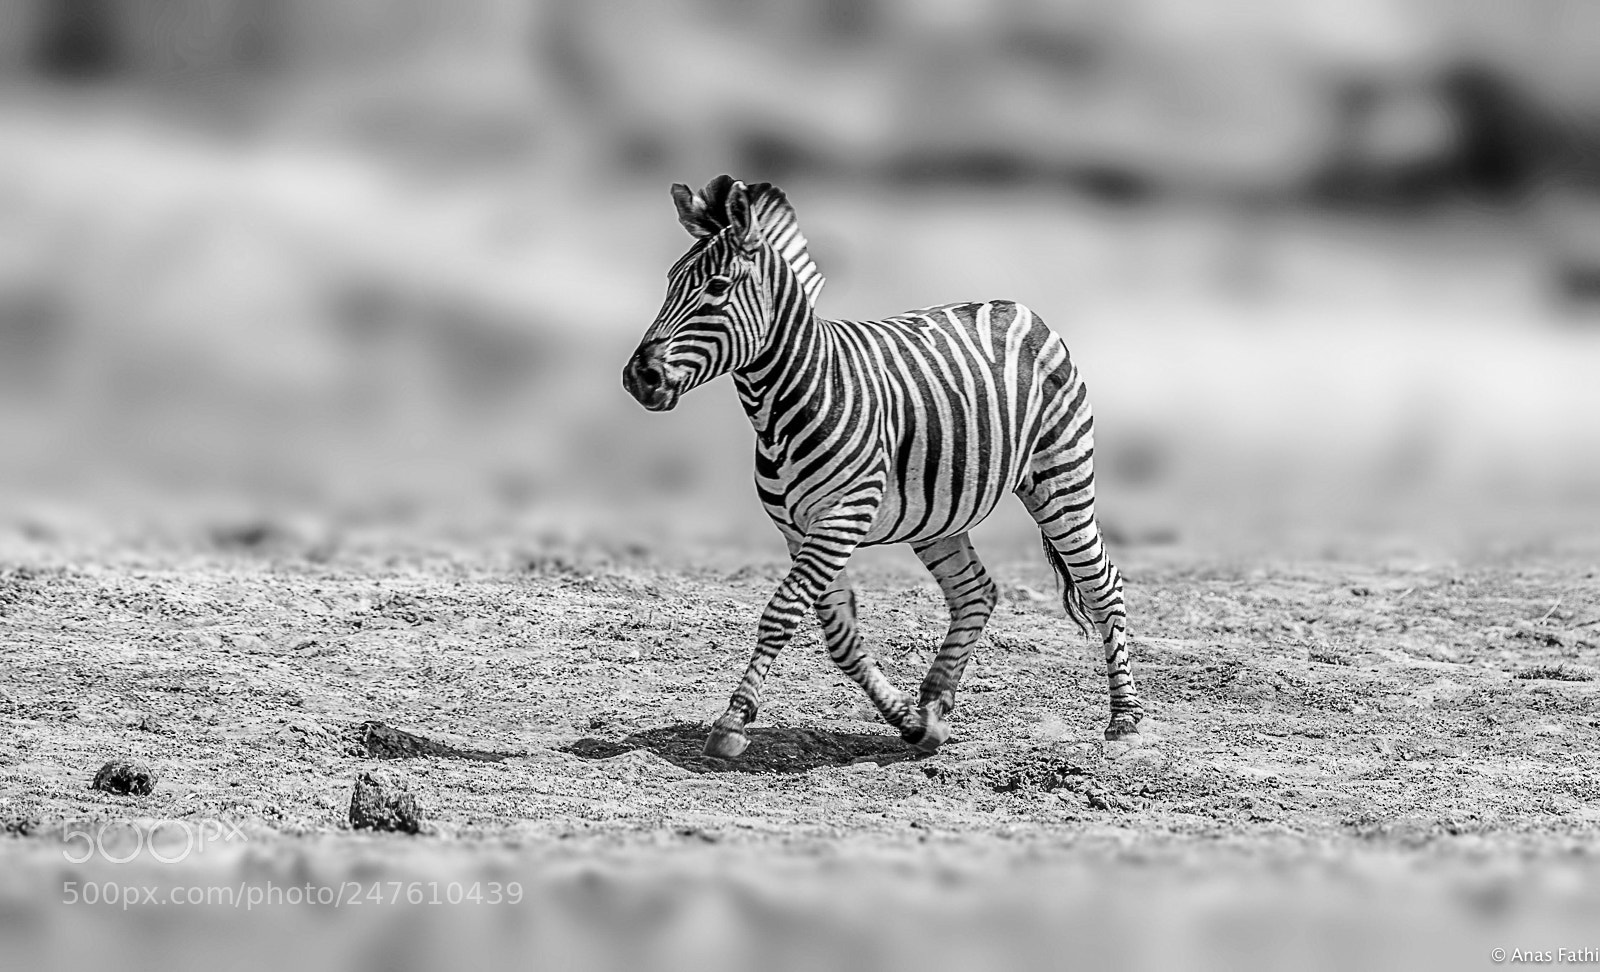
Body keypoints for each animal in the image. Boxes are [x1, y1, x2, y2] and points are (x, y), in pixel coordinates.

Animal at [622, 175, 1143, 758]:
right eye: (670, 282)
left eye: (716, 287)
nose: (638, 376)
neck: (784, 401)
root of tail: (1017, 308)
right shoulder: (798, 530)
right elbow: (841, 637)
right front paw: (912, 723)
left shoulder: (841, 515)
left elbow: (781, 612)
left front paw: (732, 722)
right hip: (941, 512)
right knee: (976, 591)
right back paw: (935, 701)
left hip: (1061, 476)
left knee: (1103, 583)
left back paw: (1124, 719)